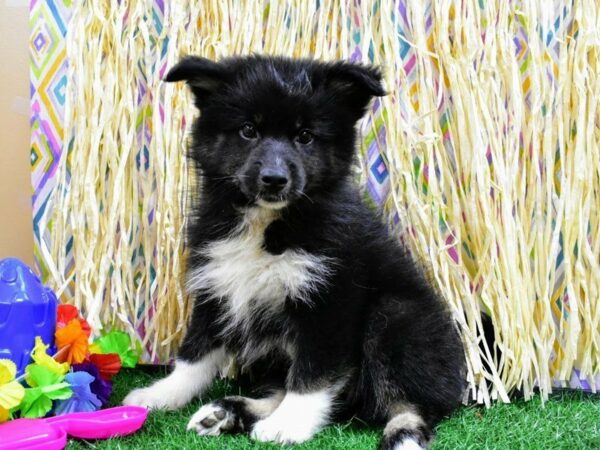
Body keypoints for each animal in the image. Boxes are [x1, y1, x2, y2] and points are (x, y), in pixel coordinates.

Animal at [124, 54, 466, 448]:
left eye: (305, 136)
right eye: (248, 130)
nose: (274, 179)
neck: (267, 224)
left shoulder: (329, 299)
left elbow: (313, 371)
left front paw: (291, 422)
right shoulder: (217, 284)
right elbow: (196, 351)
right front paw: (162, 394)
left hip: (396, 317)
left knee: (410, 406)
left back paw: (401, 433)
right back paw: (227, 412)